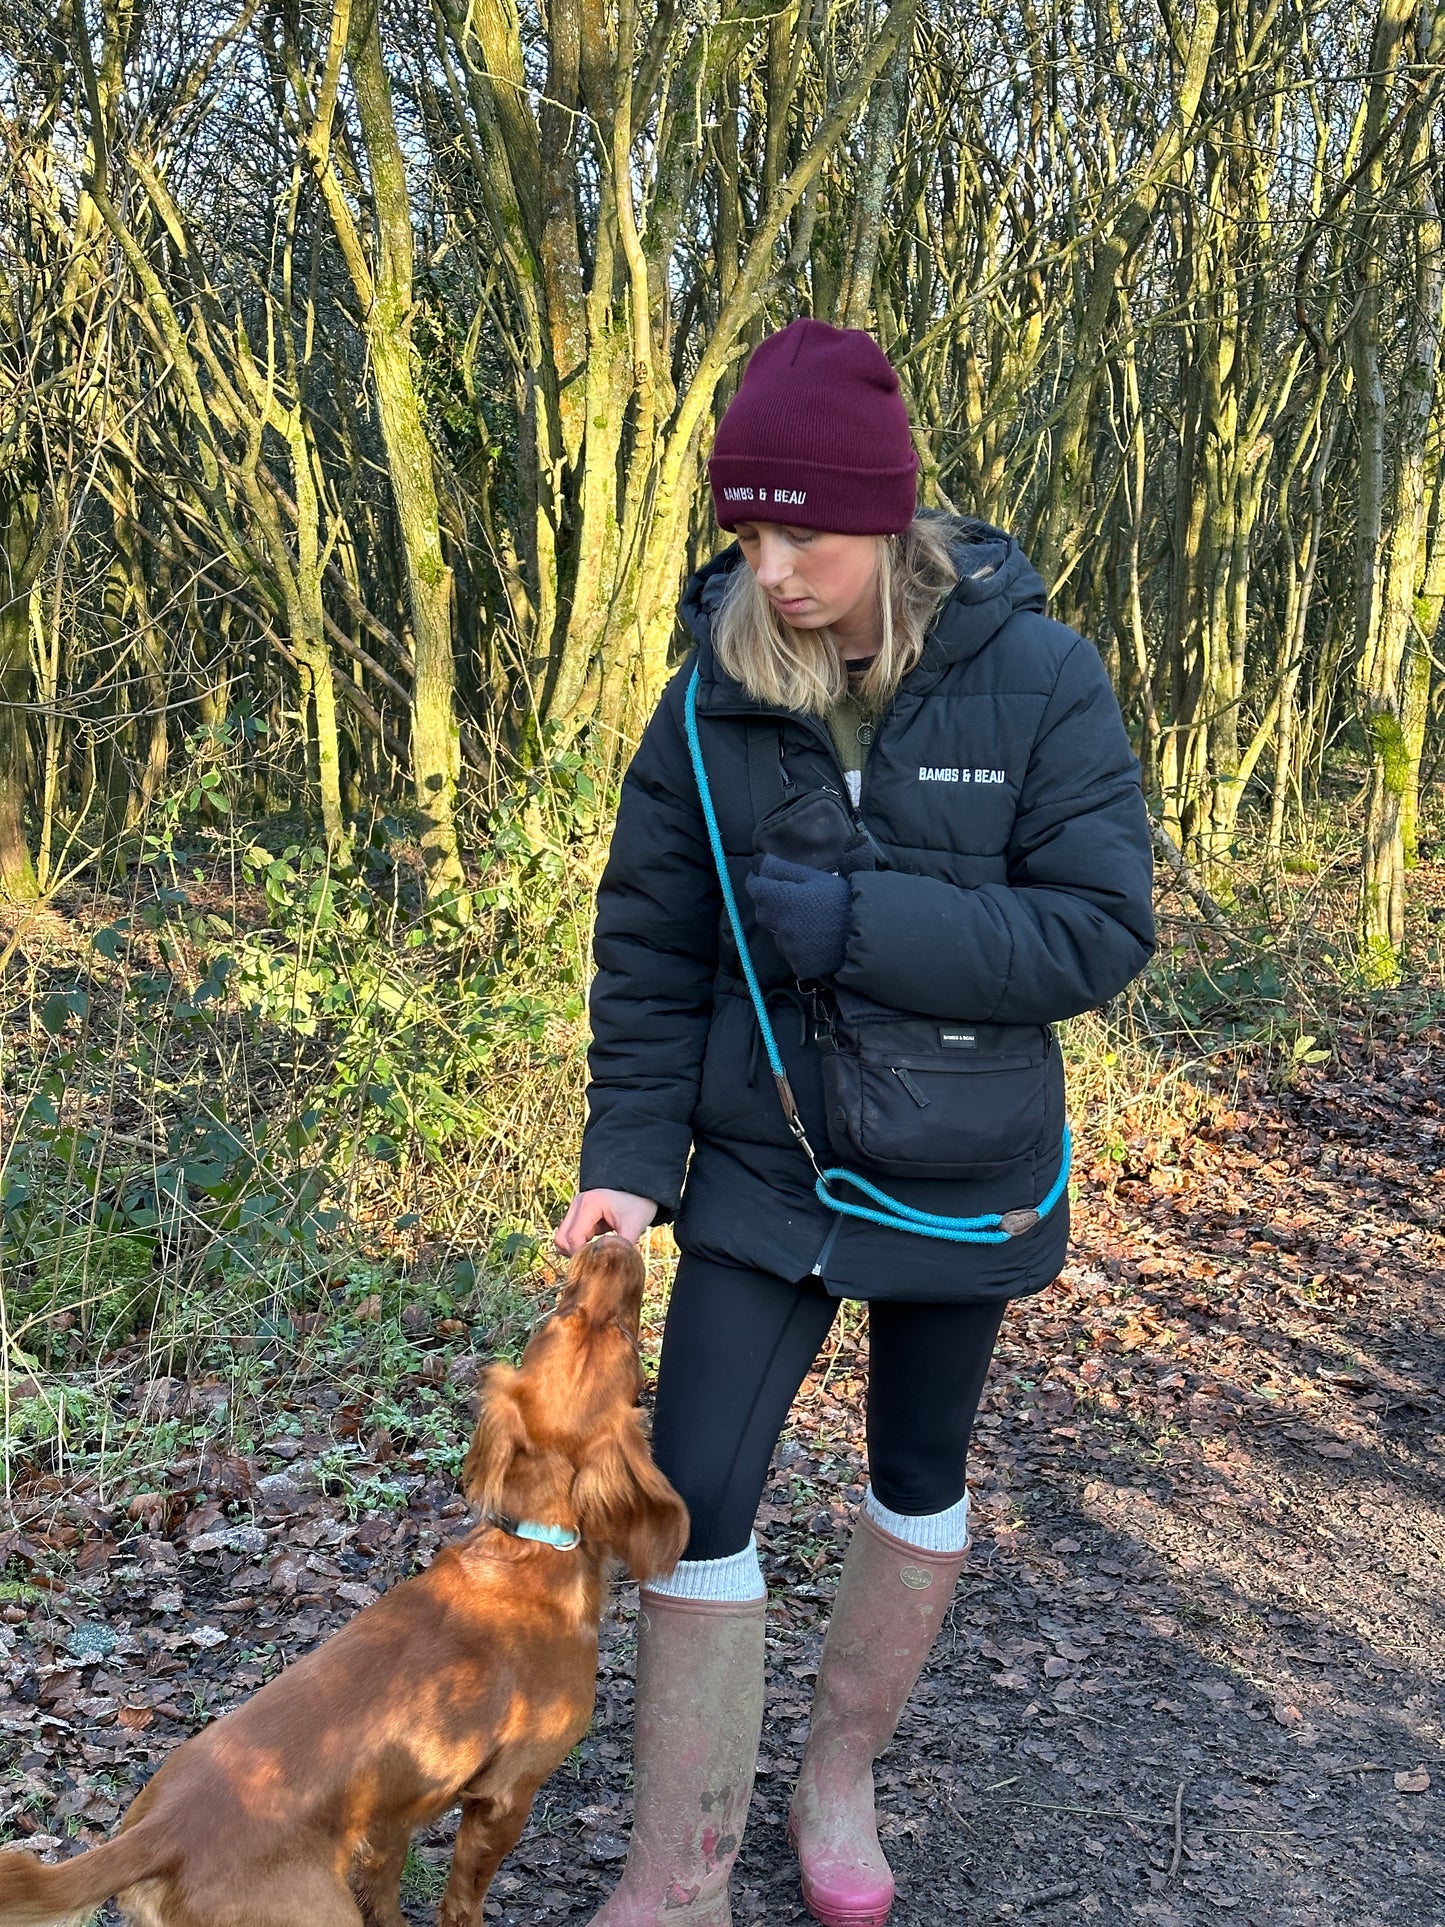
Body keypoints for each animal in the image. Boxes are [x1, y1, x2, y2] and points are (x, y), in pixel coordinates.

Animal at [0, 1233, 689, 1927]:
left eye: (565, 1318)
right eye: (618, 1336)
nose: (612, 1242)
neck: (529, 1548)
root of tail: (161, 1831)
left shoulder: (392, 1811)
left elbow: (382, 1885)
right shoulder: (505, 1794)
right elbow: (463, 1898)